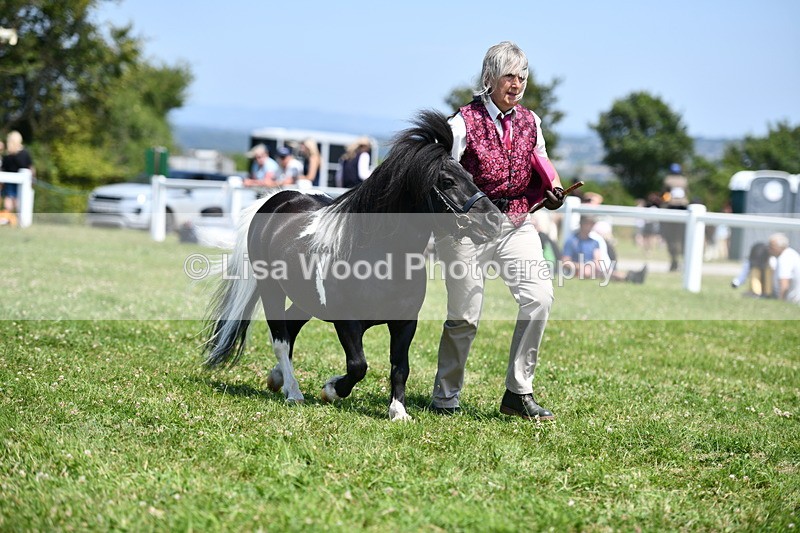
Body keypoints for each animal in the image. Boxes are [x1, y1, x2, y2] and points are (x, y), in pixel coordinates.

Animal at [202, 110, 503, 420]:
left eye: (470, 175)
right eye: (447, 181)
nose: (495, 220)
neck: (382, 259)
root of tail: (275, 200)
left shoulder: (405, 322)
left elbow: (400, 367)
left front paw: (398, 411)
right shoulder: (346, 321)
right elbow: (358, 366)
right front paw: (331, 390)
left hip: (306, 298)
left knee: (291, 325)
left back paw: (278, 380)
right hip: (271, 289)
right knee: (280, 338)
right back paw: (294, 391)